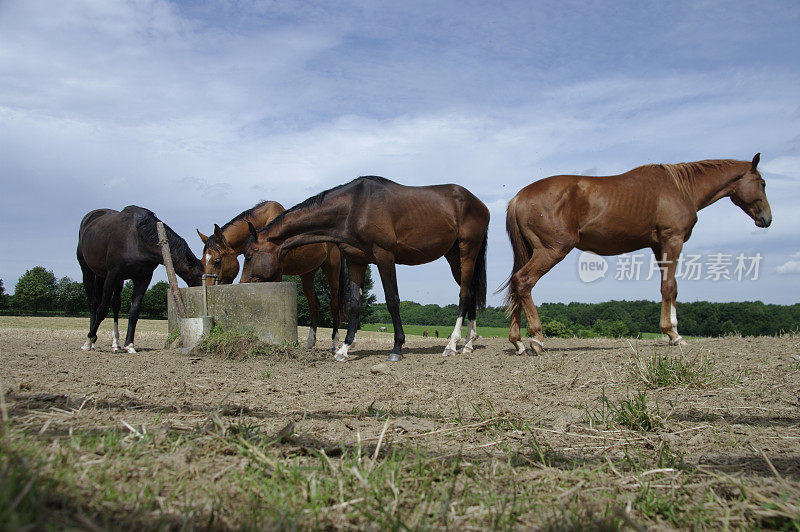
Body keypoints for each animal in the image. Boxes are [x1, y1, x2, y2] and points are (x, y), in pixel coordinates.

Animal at [77, 207, 205, 354]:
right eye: (198, 274)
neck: (137, 238)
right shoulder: (112, 274)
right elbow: (102, 310)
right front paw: (89, 339)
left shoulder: (143, 278)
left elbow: (134, 311)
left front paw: (129, 344)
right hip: (88, 270)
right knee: (93, 303)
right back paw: (90, 342)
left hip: (110, 278)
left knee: (115, 305)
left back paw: (116, 343)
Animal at [197, 198, 344, 350]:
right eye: (202, 261)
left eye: (217, 260)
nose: (208, 285)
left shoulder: (275, 274)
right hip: (307, 274)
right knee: (313, 305)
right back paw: (310, 343)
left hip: (331, 271)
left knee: (334, 303)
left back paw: (335, 343)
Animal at [239, 177, 488, 364]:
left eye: (249, 255)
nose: (242, 285)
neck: (354, 207)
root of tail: (478, 203)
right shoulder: (356, 261)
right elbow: (354, 303)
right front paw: (344, 348)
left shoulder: (384, 256)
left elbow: (392, 300)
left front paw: (397, 348)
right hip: (453, 256)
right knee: (471, 292)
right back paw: (468, 343)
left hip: (467, 252)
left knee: (464, 294)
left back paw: (452, 344)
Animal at [504, 153, 772, 358]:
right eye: (763, 183)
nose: (767, 219)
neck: (680, 188)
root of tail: (519, 198)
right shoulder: (672, 240)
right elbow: (668, 287)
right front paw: (672, 334)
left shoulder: (658, 246)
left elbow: (671, 287)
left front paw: (674, 331)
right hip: (551, 250)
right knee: (524, 282)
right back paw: (537, 339)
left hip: (531, 251)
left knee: (516, 285)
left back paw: (518, 342)